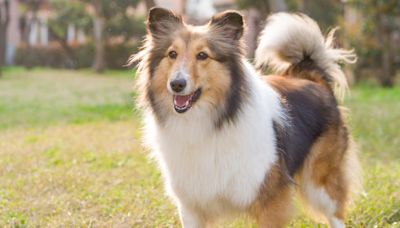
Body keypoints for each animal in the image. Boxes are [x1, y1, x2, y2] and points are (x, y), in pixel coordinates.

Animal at [132, 7, 362, 228]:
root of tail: (312, 79)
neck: (210, 120)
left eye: (202, 55)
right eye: (172, 54)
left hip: (320, 181)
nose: (177, 84)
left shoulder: (271, 201)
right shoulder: (191, 205)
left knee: (336, 213)